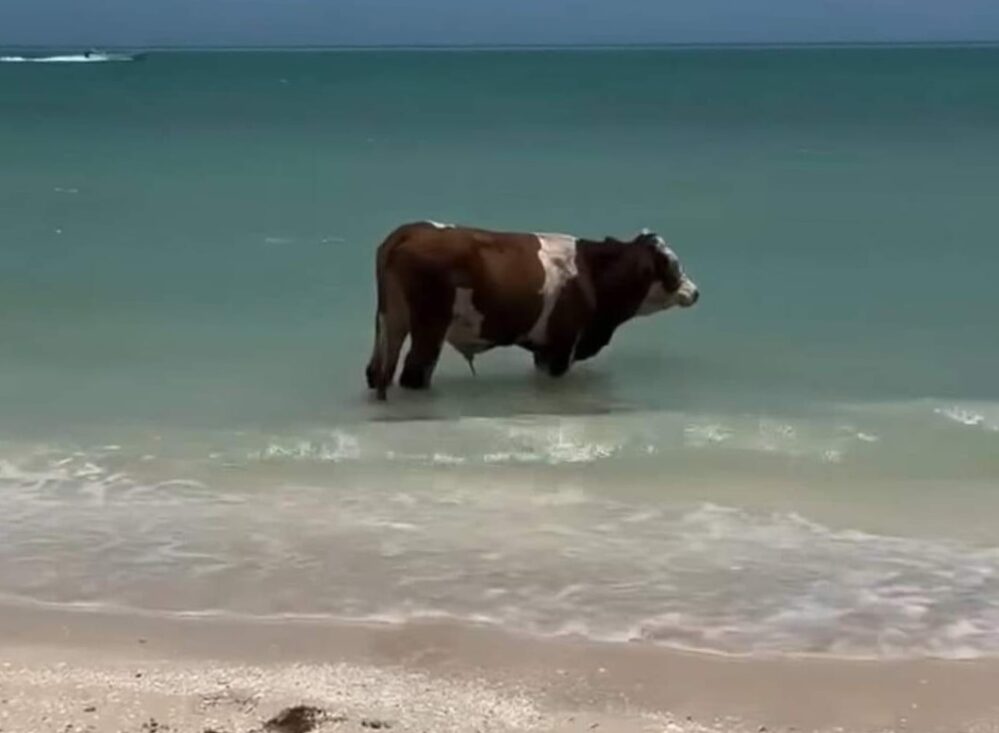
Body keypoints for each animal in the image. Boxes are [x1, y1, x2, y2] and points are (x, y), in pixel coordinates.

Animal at [364, 219, 700, 400]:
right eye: (673, 265)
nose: (696, 292)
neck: (592, 273)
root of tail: (410, 231)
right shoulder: (561, 347)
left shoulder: (545, 349)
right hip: (429, 325)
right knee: (414, 373)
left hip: (391, 320)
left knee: (378, 371)